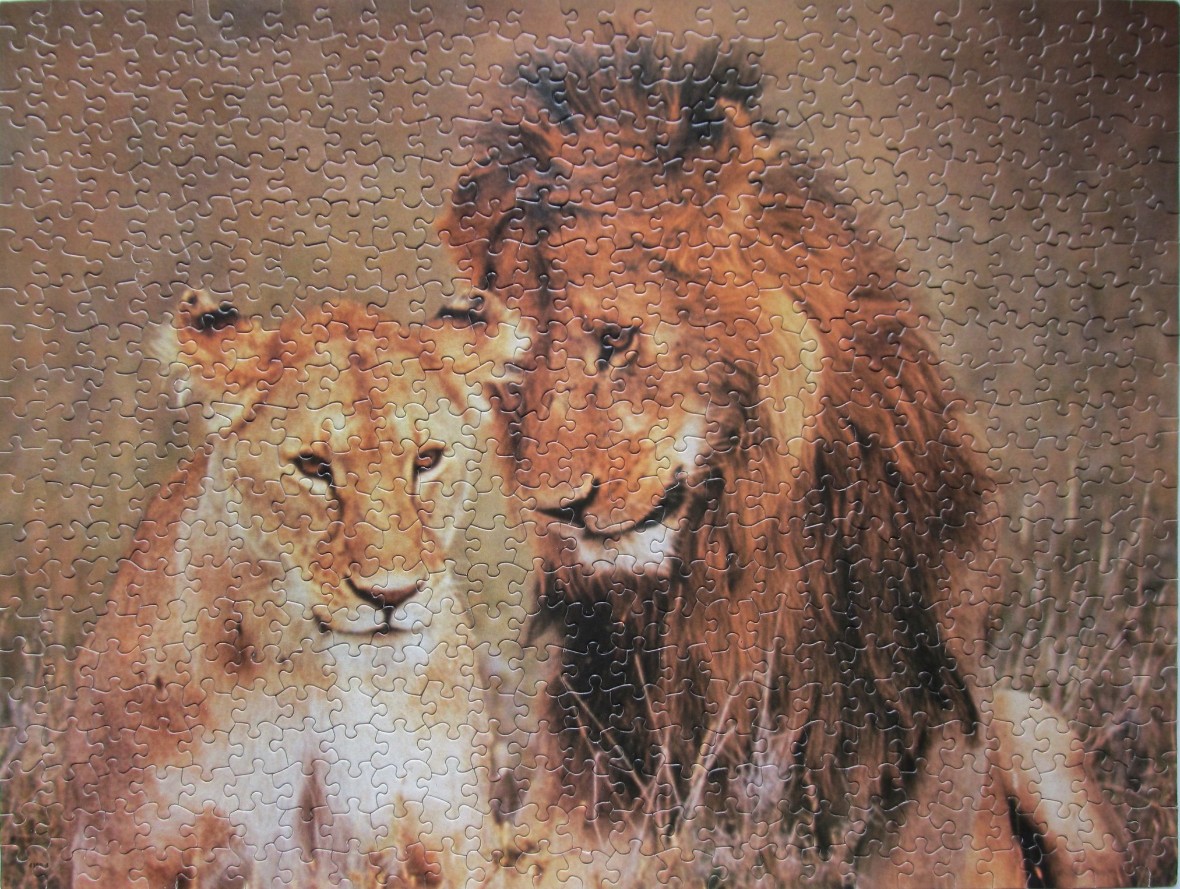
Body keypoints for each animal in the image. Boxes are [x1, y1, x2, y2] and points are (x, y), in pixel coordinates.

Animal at [62, 290, 526, 888]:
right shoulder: (120, 848)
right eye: (312, 466)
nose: (391, 597)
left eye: (426, 460)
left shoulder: (447, 834)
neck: (317, 675)